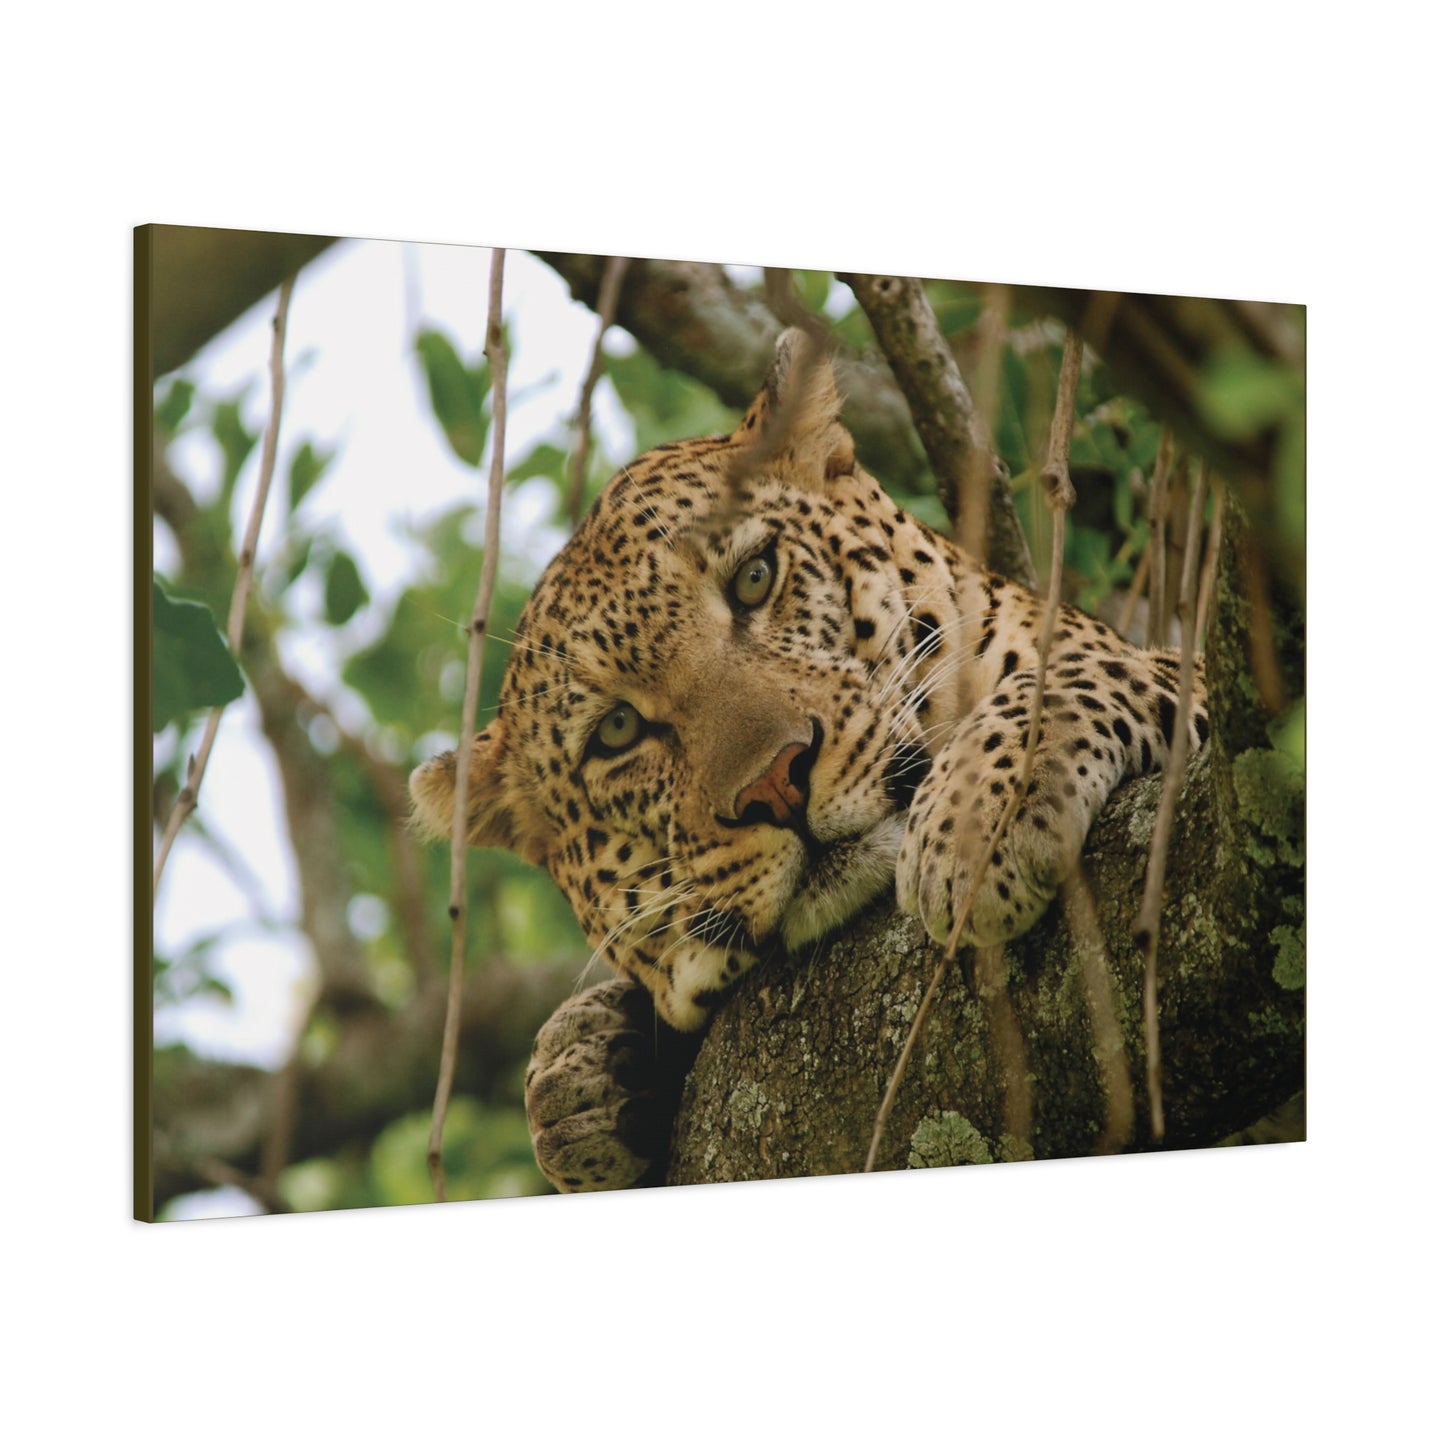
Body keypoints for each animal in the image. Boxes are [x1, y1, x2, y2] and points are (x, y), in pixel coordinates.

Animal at [409, 329, 1209, 1192]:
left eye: (755, 578)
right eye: (617, 730)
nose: (775, 782)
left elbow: (1077, 671)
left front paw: (973, 822)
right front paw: (584, 1076)